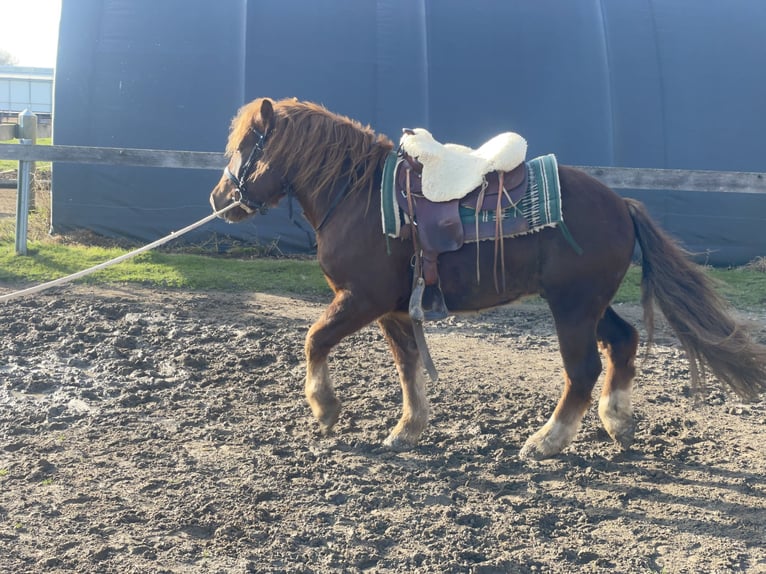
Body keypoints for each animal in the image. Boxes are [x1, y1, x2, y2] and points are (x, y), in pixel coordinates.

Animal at [210, 98, 766, 460]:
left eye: (244, 146)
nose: (220, 199)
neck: (358, 195)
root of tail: (621, 204)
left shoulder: (361, 299)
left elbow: (314, 339)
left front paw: (325, 409)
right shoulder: (393, 309)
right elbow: (408, 367)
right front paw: (408, 429)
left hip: (571, 306)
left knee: (582, 369)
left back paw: (547, 441)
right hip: (589, 303)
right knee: (622, 342)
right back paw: (617, 421)